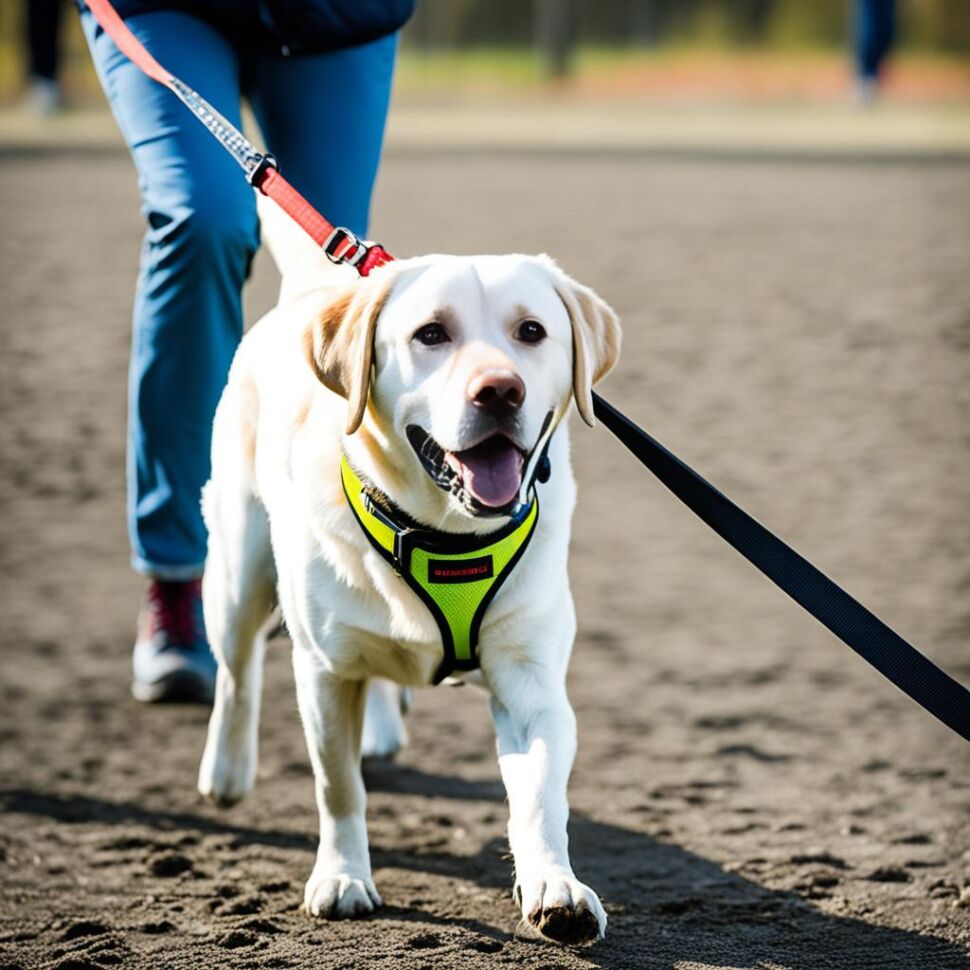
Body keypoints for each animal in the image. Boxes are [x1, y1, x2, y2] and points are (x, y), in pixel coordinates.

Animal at [198, 202, 620, 936]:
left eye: (531, 332)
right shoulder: (324, 671)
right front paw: (342, 876)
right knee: (237, 669)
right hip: (237, 564)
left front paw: (555, 887)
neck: (445, 536)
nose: (500, 390)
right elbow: (338, 785)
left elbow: (540, 793)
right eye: (431, 334)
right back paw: (226, 770)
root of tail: (315, 290)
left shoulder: (531, 678)